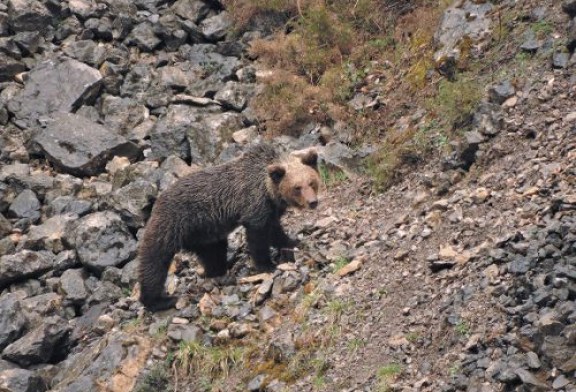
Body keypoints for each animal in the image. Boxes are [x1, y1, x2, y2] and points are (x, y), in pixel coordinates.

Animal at [138, 142, 322, 310]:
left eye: (312, 182)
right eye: (297, 187)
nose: (312, 202)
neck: (268, 189)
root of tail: (157, 201)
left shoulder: (271, 208)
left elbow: (275, 231)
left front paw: (293, 243)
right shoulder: (253, 204)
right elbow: (258, 236)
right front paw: (267, 265)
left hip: (204, 233)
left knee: (213, 252)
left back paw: (219, 270)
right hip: (173, 223)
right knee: (155, 260)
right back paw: (159, 300)